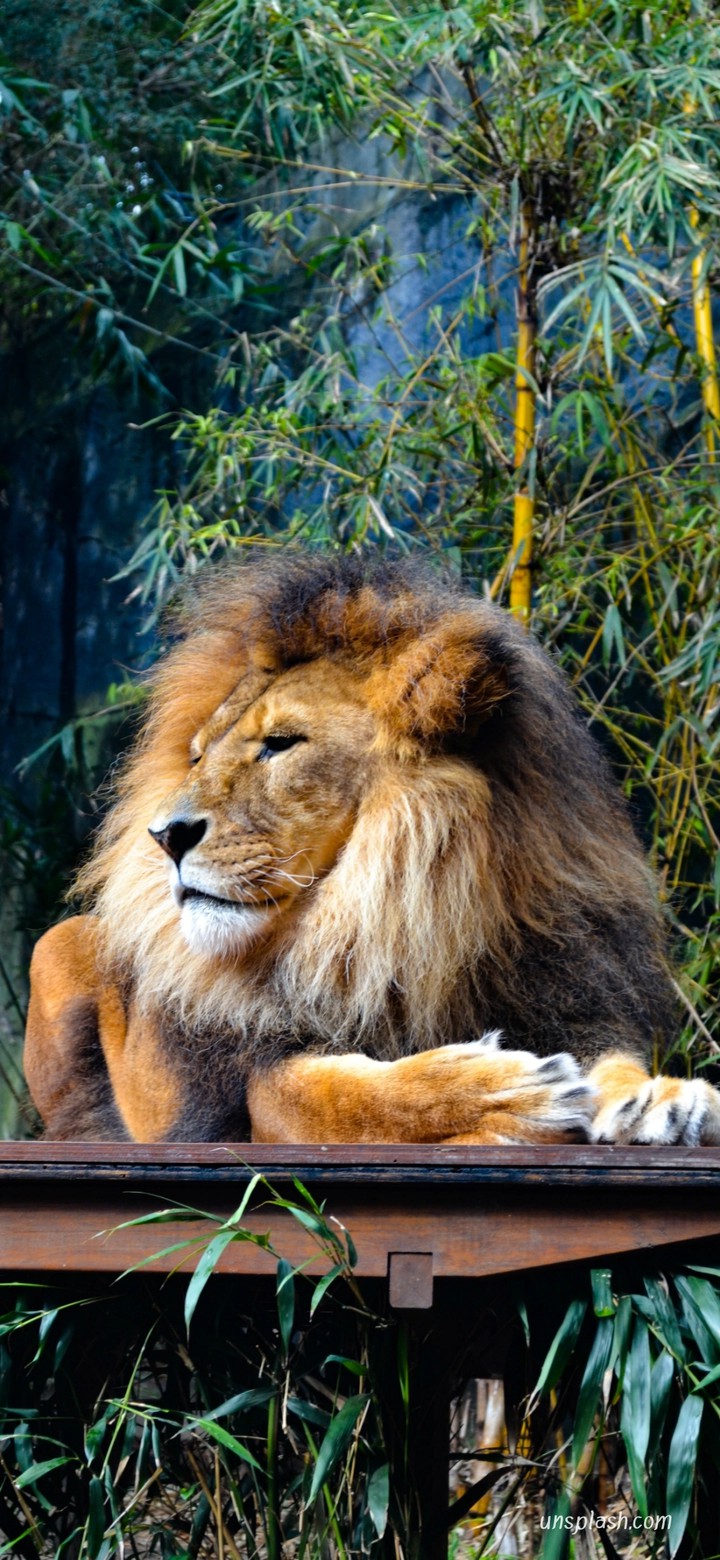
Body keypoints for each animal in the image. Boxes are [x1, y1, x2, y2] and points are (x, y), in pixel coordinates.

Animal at [23, 552, 720, 1146]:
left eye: (280, 743)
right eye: (196, 756)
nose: (165, 835)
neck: (392, 927)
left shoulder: (566, 992)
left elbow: (615, 1060)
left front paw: (661, 1098)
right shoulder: (255, 1086)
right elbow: (350, 1096)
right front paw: (508, 1093)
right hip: (56, 943)